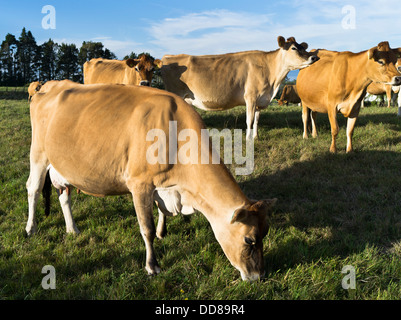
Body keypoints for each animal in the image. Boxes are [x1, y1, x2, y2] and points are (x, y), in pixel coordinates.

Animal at [25, 81, 276, 282]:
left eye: (265, 233)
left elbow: (162, 211)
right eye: (249, 240)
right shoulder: (139, 184)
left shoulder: (163, 186)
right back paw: (31, 227)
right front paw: (152, 265)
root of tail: (48, 85)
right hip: (38, 154)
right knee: (33, 189)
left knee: (64, 195)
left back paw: (72, 229)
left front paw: (162, 232)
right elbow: (145, 228)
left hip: (61, 164)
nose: (259, 275)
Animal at [161, 36, 318, 139]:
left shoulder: (260, 100)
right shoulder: (251, 97)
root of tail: (168, 57)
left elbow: (256, 119)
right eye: (293, 48)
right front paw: (248, 139)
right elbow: (249, 119)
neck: (273, 84)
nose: (314, 57)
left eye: (303, 47)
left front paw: (256, 137)